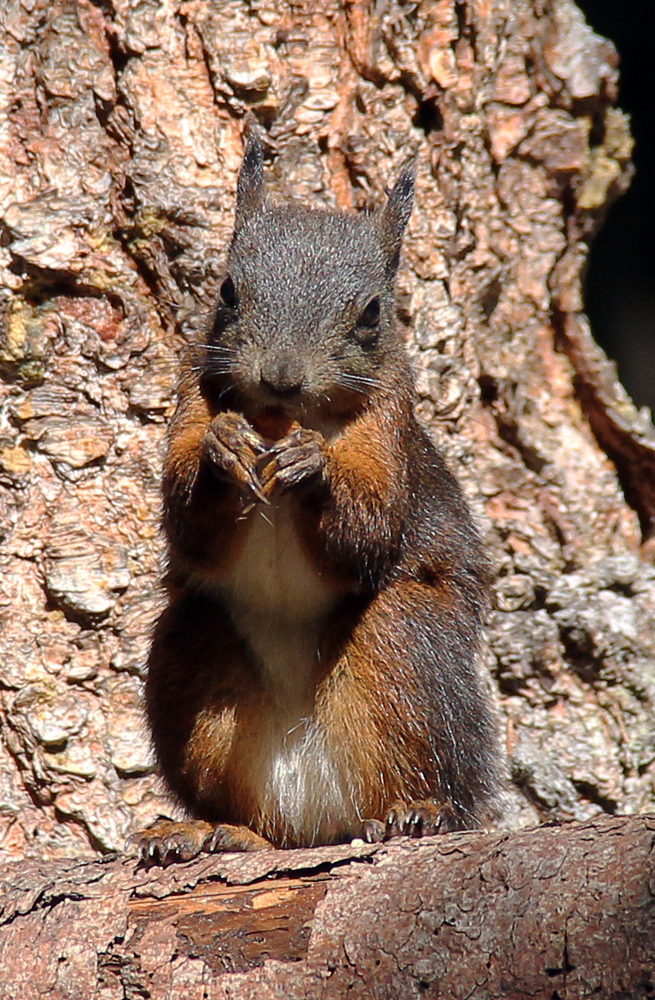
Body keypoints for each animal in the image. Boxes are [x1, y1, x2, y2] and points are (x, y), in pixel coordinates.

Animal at [128, 123, 502, 860]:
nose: (280, 377)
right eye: (226, 291)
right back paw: (209, 828)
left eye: (371, 314)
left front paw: (314, 467)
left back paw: (417, 812)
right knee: (260, 822)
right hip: (196, 653)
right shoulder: (191, 400)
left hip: (405, 655)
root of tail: (315, 810)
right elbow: (187, 523)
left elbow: (364, 534)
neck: (280, 420)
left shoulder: (389, 438)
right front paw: (222, 451)